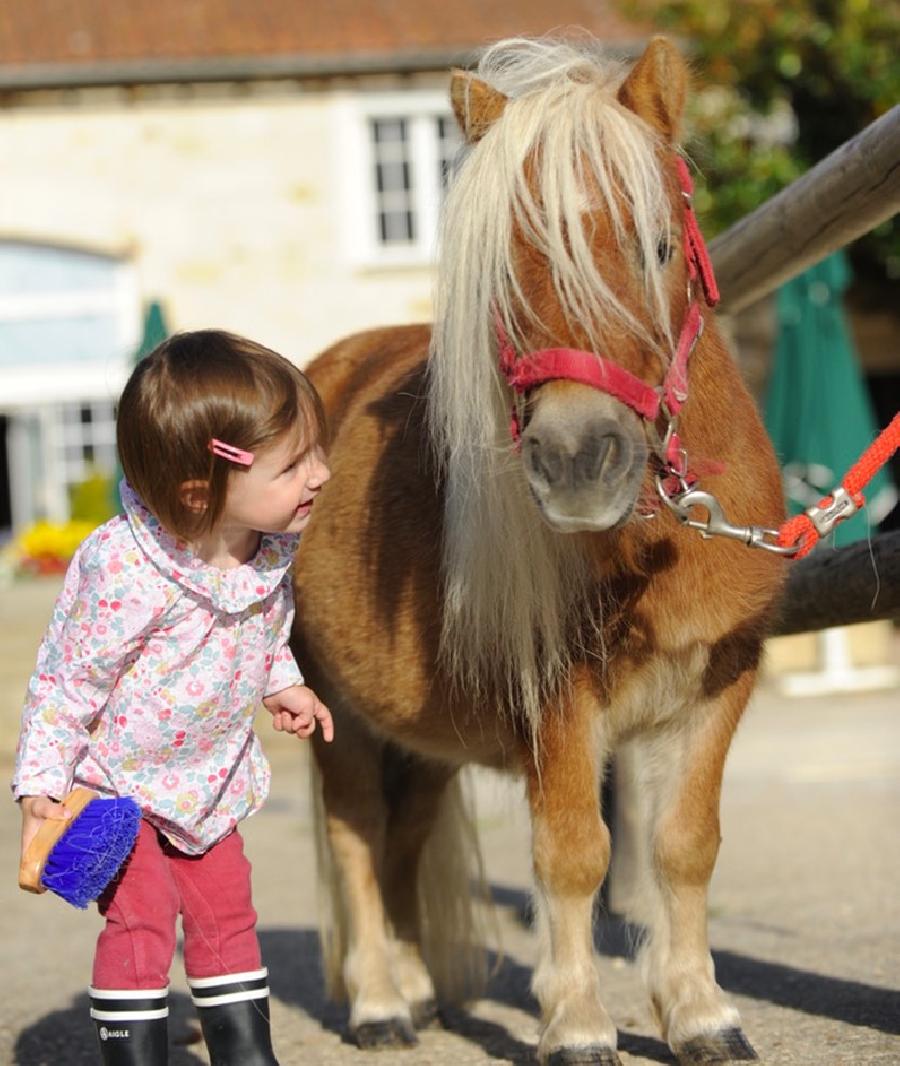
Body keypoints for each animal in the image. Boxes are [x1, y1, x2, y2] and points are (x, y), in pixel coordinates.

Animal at [292, 35, 784, 1066]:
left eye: (659, 246)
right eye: (503, 274)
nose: (577, 459)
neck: (658, 546)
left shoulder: (719, 680)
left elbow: (684, 844)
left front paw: (700, 1014)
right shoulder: (558, 700)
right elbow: (574, 853)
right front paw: (579, 1023)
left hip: (421, 736)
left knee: (404, 837)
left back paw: (417, 985)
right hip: (336, 715)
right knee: (357, 834)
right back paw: (379, 1003)